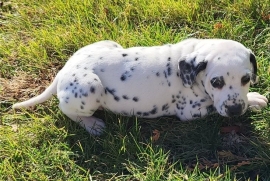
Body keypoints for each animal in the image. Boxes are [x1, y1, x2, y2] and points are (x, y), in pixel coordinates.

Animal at [12, 38, 268, 134]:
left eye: (246, 79)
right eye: (216, 82)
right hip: (89, 87)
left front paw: (251, 98)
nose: (235, 109)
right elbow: (215, 108)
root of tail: (65, 70)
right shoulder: (192, 111)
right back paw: (92, 124)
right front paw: (254, 100)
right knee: (67, 111)